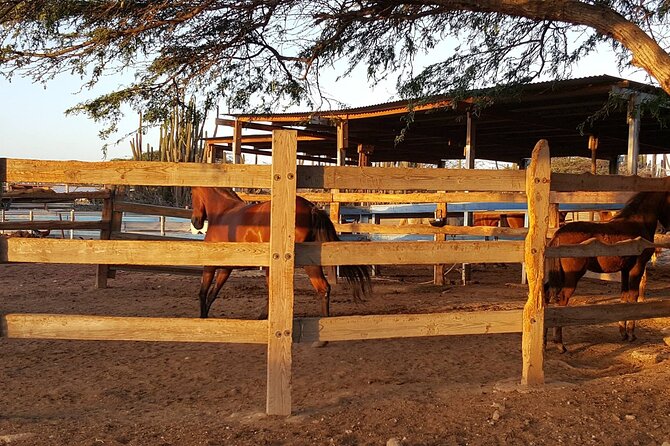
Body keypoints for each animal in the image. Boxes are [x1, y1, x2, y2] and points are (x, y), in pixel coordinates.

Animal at [190, 186, 372, 318]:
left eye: (191, 193)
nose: (196, 222)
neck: (223, 213)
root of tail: (311, 208)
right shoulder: (226, 267)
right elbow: (212, 293)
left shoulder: (210, 264)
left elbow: (203, 292)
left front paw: (203, 318)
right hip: (309, 260)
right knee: (323, 288)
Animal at [544, 192, 670, 352]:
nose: (664, 229)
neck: (637, 223)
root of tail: (558, 235)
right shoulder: (637, 267)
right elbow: (633, 297)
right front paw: (631, 334)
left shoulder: (625, 270)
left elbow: (624, 296)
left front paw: (623, 333)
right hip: (572, 276)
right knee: (562, 300)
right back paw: (560, 344)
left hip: (558, 275)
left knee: (545, 294)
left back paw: (544, 342)